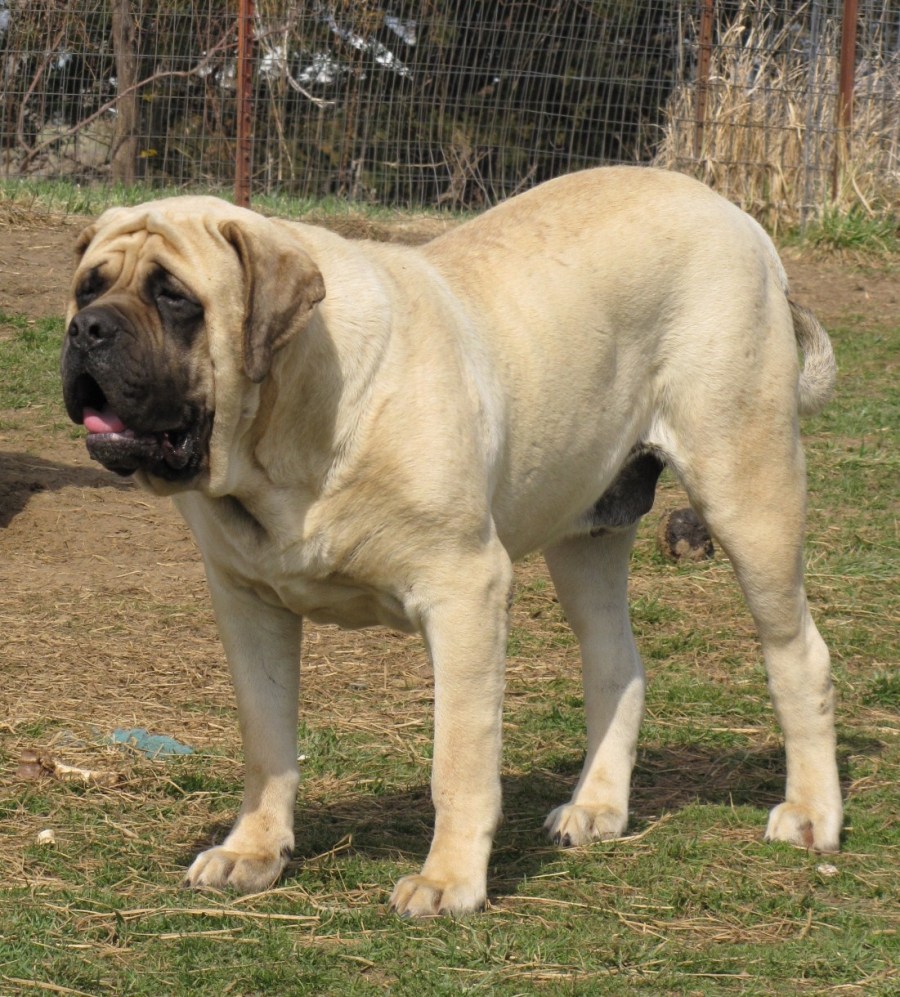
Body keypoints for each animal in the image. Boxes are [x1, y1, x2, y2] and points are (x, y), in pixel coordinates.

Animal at [63, 167, 844, 916]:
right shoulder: (248, 604)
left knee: (797, 653)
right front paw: (252, 849)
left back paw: (811, 811)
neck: (286, 432)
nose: (85, 330)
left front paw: (449, 880)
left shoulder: (465, 592)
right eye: (87, 287)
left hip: (748, 492)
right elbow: (267, 742)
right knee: (616, 663)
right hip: (587, 532)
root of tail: (739, 217)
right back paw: (596, 806)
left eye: (175, 298)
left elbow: (459, 762)